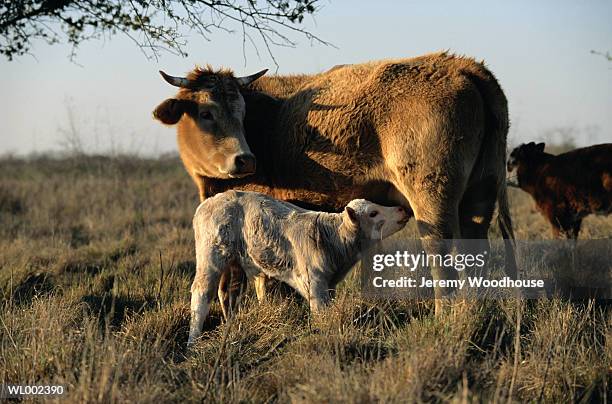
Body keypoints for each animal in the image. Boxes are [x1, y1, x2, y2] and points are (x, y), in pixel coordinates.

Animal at [153, 51, 516, 316]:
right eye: (206, 113)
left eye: (241, 113)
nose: (245, 160)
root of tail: (463, 65)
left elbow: (241, 279)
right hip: (481, 195)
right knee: (476, 251)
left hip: (432, 200)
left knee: (441, 255)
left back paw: (445, 316)